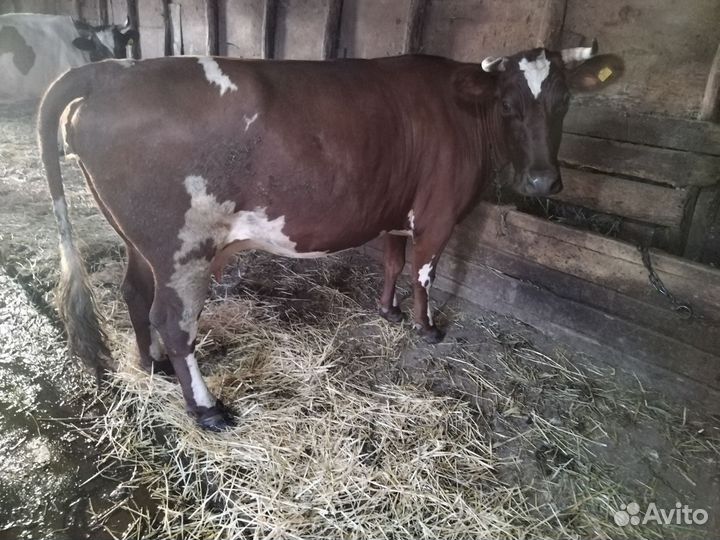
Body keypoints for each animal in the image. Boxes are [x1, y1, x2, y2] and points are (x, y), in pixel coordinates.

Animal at [38, 43, 621, 430]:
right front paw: (426, 327)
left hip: (142, 243)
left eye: (564, 100)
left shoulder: (395, 211)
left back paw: (151, 365)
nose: (543, 181)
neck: (459, 109)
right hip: (183, 249)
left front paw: (388, 311)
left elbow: (393, 261)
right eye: (507, 104)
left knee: (135, 294)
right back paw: (206, 409)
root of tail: (112, 71)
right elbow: (424, 271)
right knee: (174, 322)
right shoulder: (439, 214)